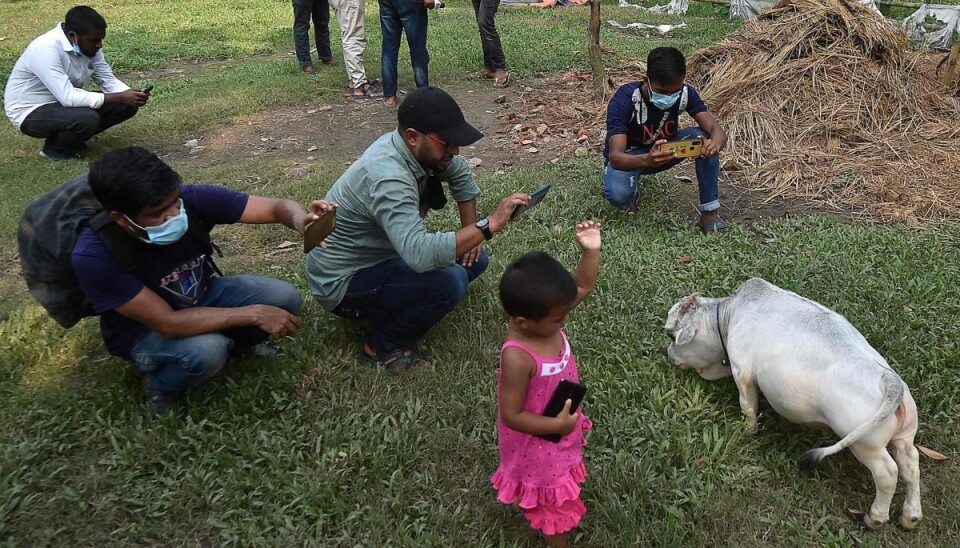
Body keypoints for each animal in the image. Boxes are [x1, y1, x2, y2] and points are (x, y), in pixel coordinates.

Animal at [668, 280, 924, 528]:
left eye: (671, 337)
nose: (668, 355)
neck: (730, 314)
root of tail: (889, 379)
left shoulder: (742, 372)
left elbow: (748, 407)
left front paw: (745, 432)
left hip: (865, 444)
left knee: (888, 473)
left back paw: (876, 518)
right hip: (904, 436)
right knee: (911, 464)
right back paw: (910, 516)